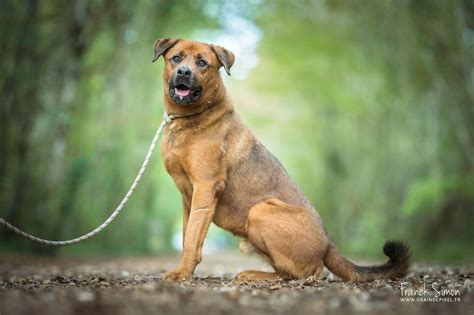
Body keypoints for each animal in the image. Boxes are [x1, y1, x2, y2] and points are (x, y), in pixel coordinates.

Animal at [153, 38, 412, 282]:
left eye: (202, 63)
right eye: (176, 58)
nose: (184, 72)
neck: (190, 118)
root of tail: (328, 245)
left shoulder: (205, 189)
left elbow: (191, 239)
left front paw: (182, 273)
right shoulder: (189, 199)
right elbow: (187, 235)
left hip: (260, 211)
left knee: (305, 273)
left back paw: (255, 275)